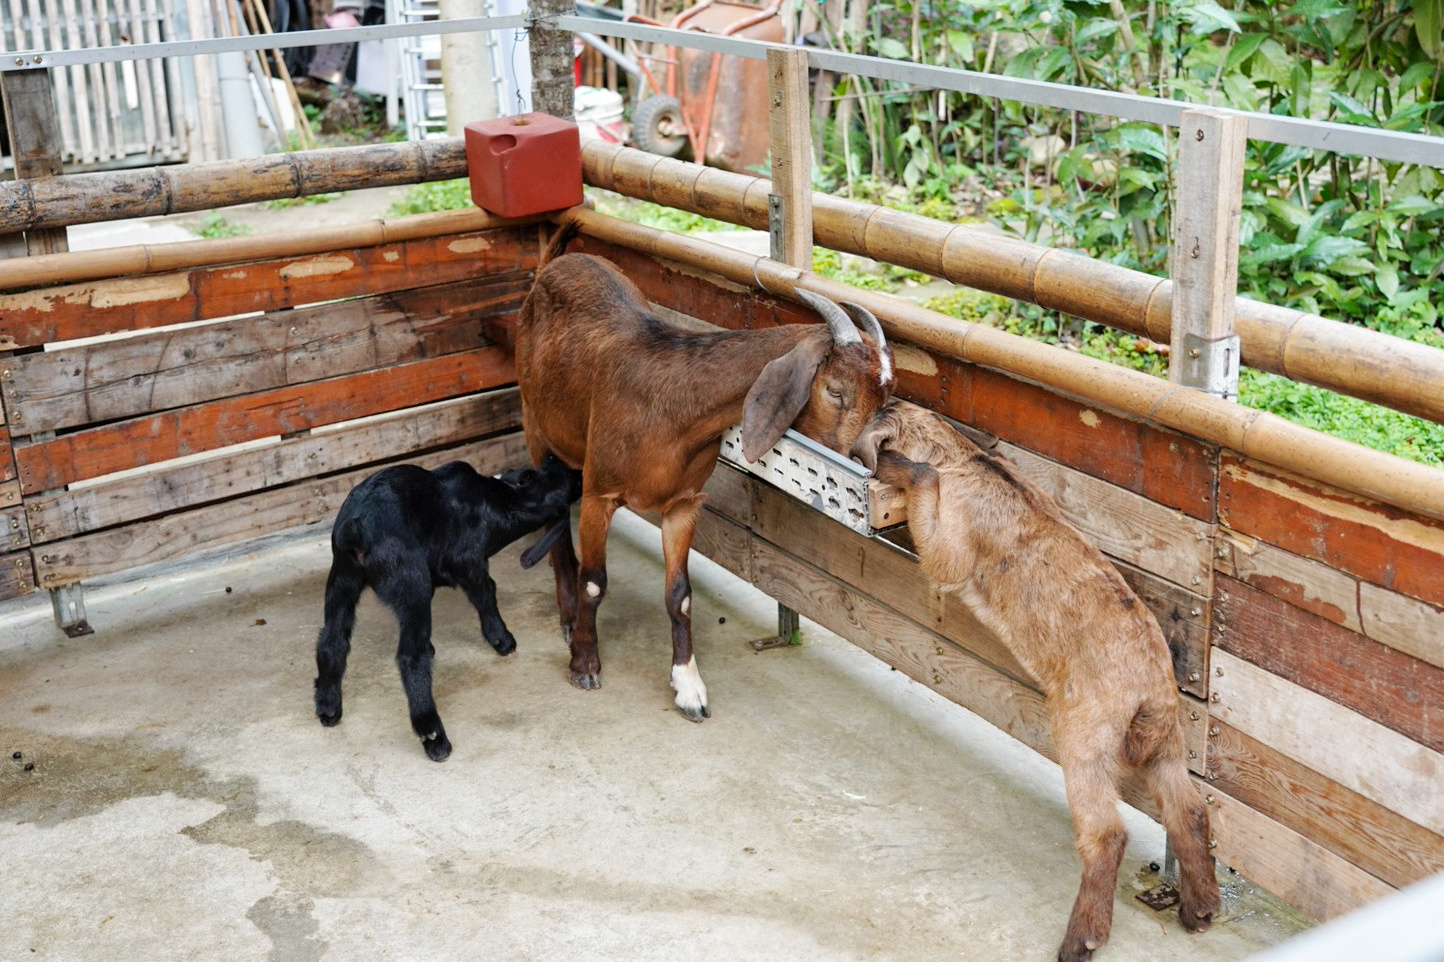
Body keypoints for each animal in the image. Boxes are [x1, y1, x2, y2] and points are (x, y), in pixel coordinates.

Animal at [849, 395, 1224, 953]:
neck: (963, 458)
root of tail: (1154, 694)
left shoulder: (948, 555)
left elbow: (926, 484)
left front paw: (900, 468)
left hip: (1083, 744)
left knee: (1107, 834)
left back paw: (1081, 941)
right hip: (1168, 748)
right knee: (1190, 810)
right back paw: (1200, 910)